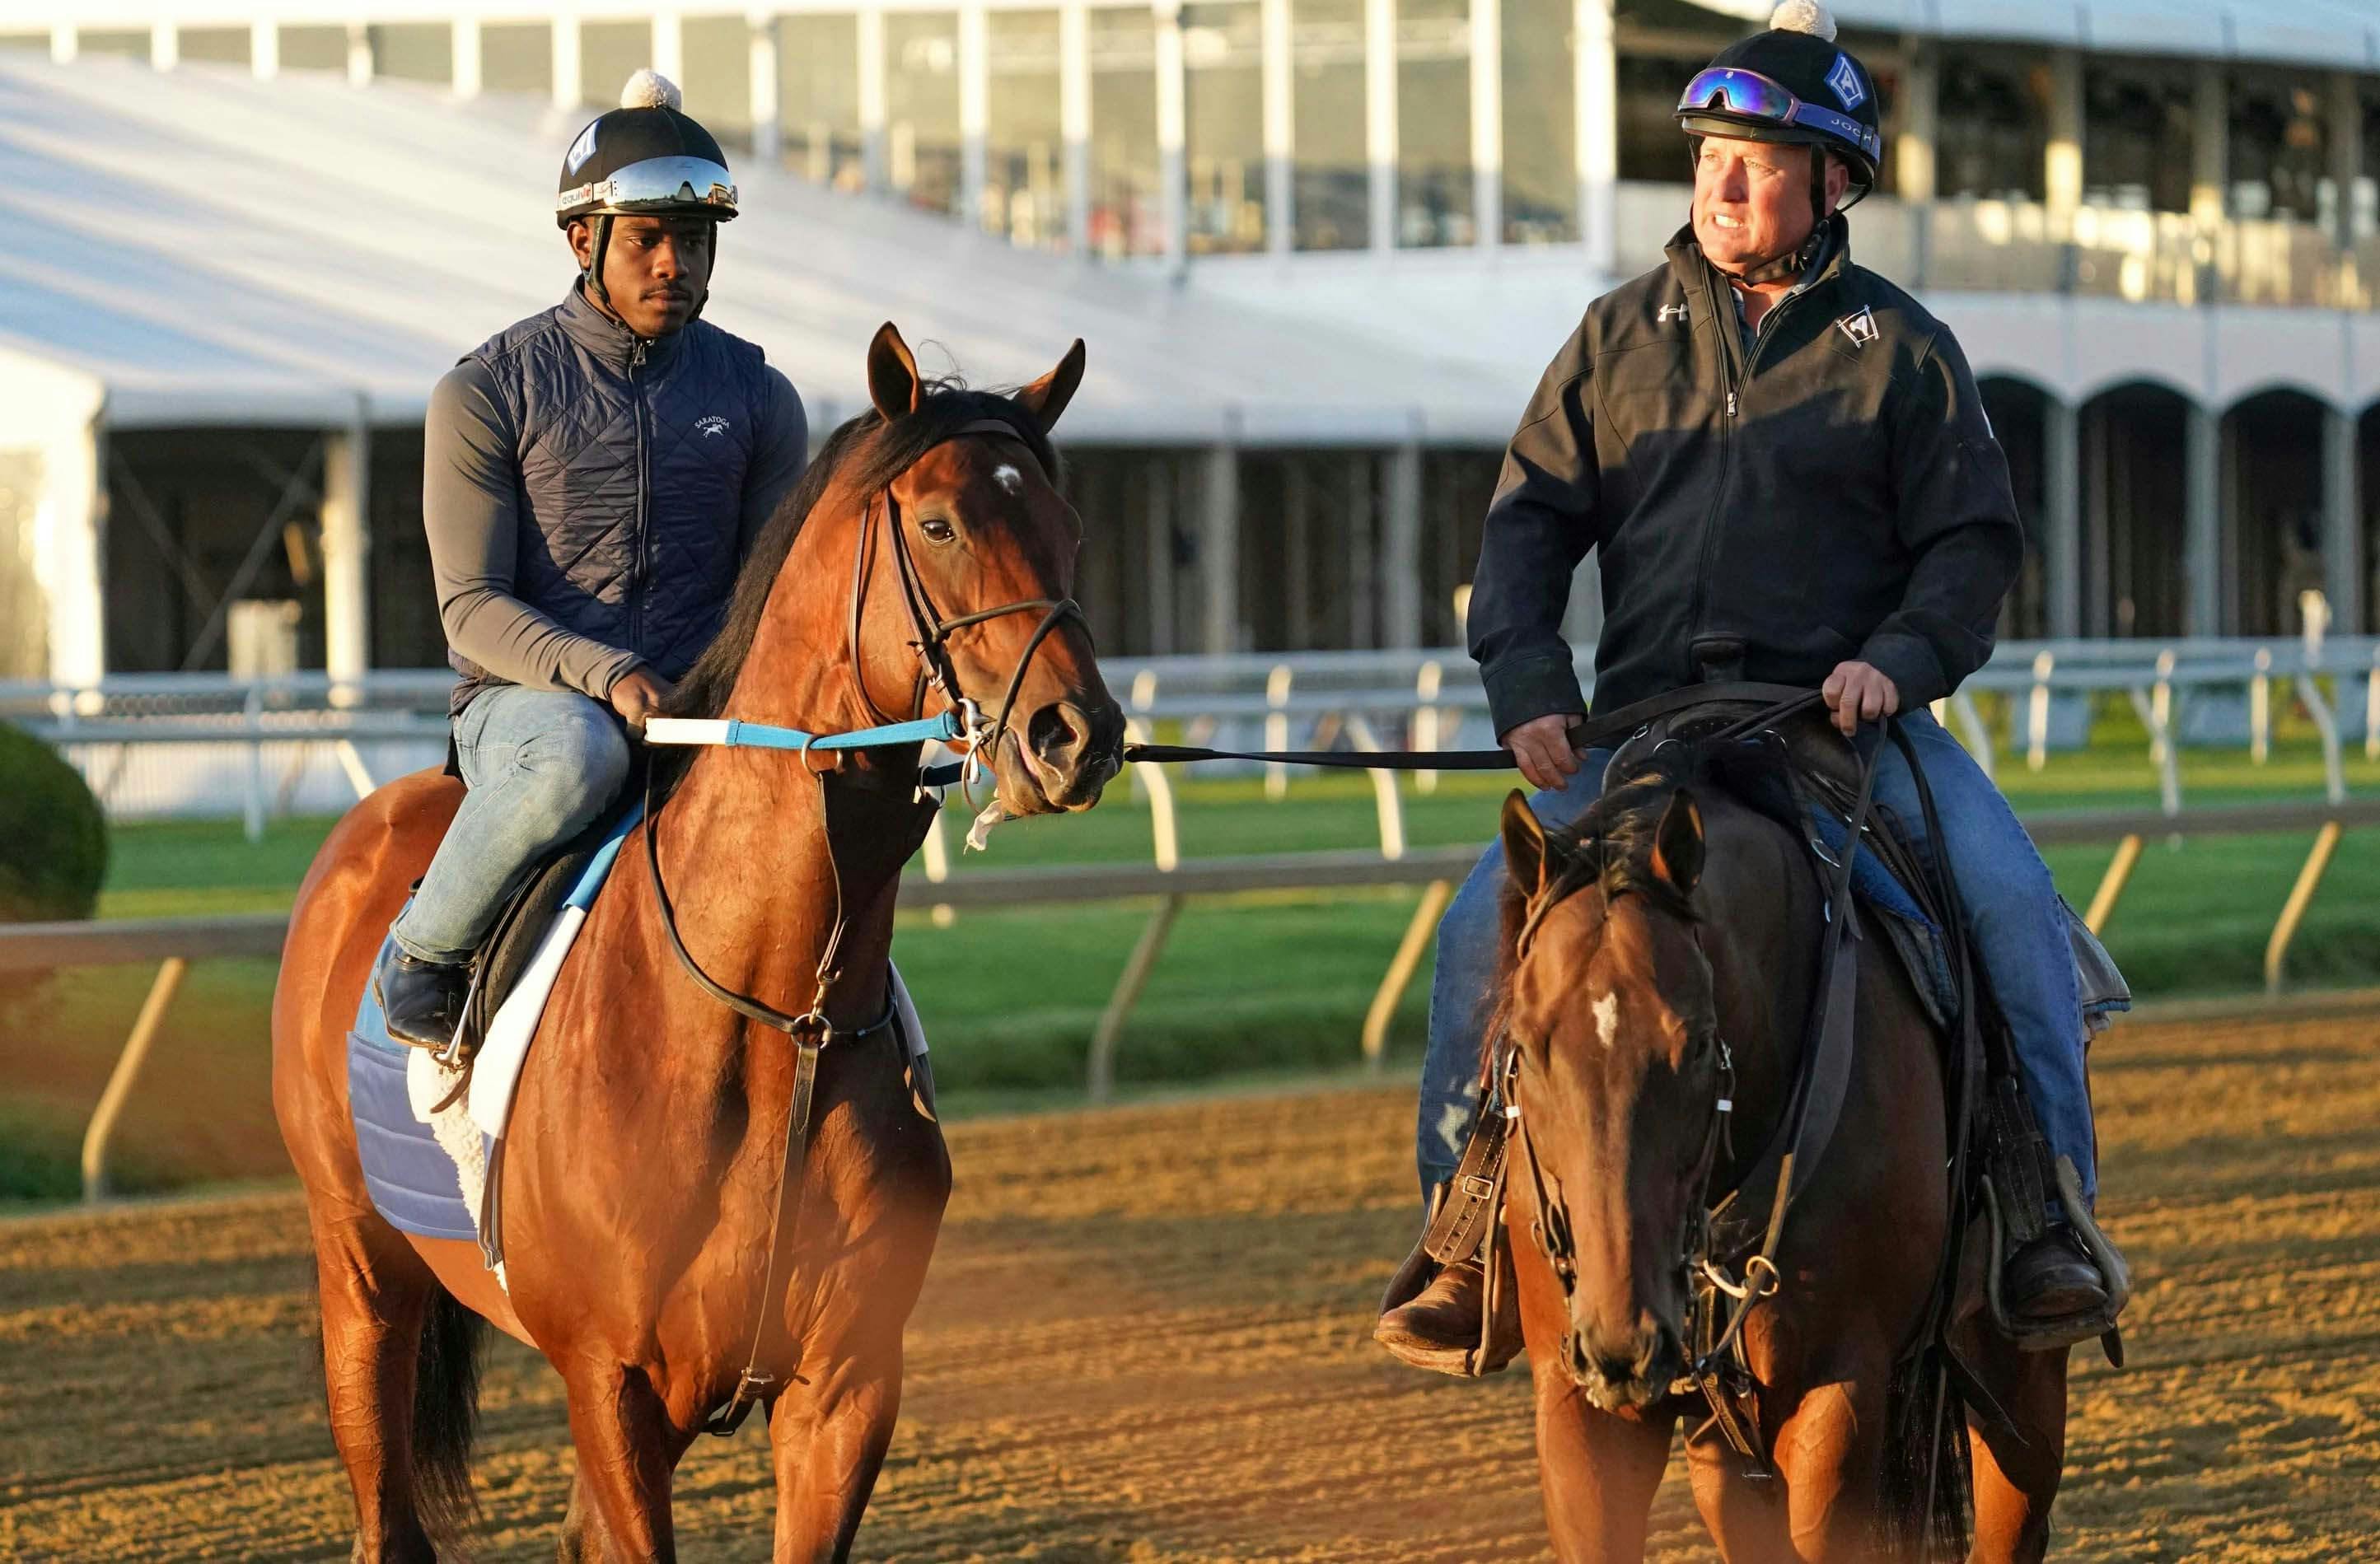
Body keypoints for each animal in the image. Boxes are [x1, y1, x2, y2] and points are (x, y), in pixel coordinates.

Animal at [269, 324, 1123, 1552]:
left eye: (1068, 527)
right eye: (939, 524)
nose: (1077, 735)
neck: (780, 1016)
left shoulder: (845, 1387)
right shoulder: (611, 1383)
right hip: (360, 1267)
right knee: (384, 1504)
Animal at [1494, 733, 2075, 1562]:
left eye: (1696, 1043)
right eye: (1527, 1042)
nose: (1623, 1340)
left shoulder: (1840, 1387)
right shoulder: (1578, 1401)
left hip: (2018, 1381)